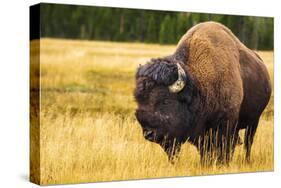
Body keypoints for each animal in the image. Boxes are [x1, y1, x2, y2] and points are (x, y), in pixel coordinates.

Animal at [135, 21, 270, 165]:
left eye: (165, 100)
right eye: (139, 101)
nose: (148, 133)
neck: (198, 86)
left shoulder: (226, 125)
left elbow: (224, 148)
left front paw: (222, 164)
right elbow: (205, 151)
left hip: (254, 121)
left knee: (248, 143)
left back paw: (246, 160)